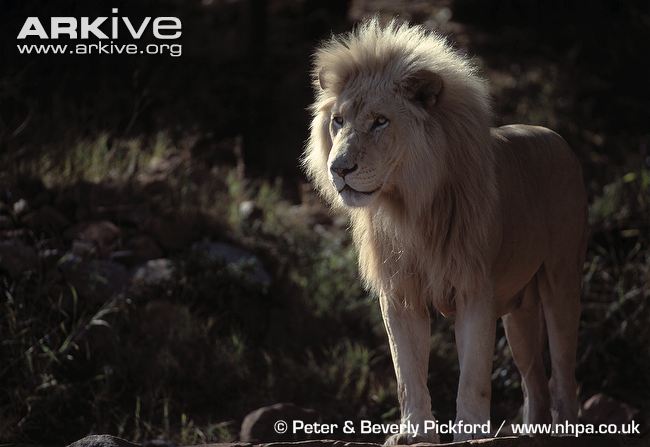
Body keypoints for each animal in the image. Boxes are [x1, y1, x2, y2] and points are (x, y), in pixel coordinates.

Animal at [302, 18, 588, 444]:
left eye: (380, 121)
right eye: (338, 121)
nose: (339, 168)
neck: (409, 207)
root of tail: (555, 136)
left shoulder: (475, 289)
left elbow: (473, 376)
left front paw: (470, 431)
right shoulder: (399, 292)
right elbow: (407, 372)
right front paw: (413, 432)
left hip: (561, 281)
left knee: (563, 372)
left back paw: (569, 428)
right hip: (519, 312)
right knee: (532, 380)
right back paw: (532, 431)